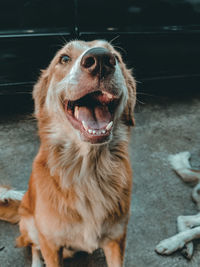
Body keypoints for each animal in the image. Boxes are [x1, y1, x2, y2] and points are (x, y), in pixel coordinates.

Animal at [0, 39, 136, 267]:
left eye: (116, 56)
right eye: (64, 58)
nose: (101, 59)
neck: (87, 172)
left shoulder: (117, 240)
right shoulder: (51, 244)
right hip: (31, 227)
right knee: (33, 246)